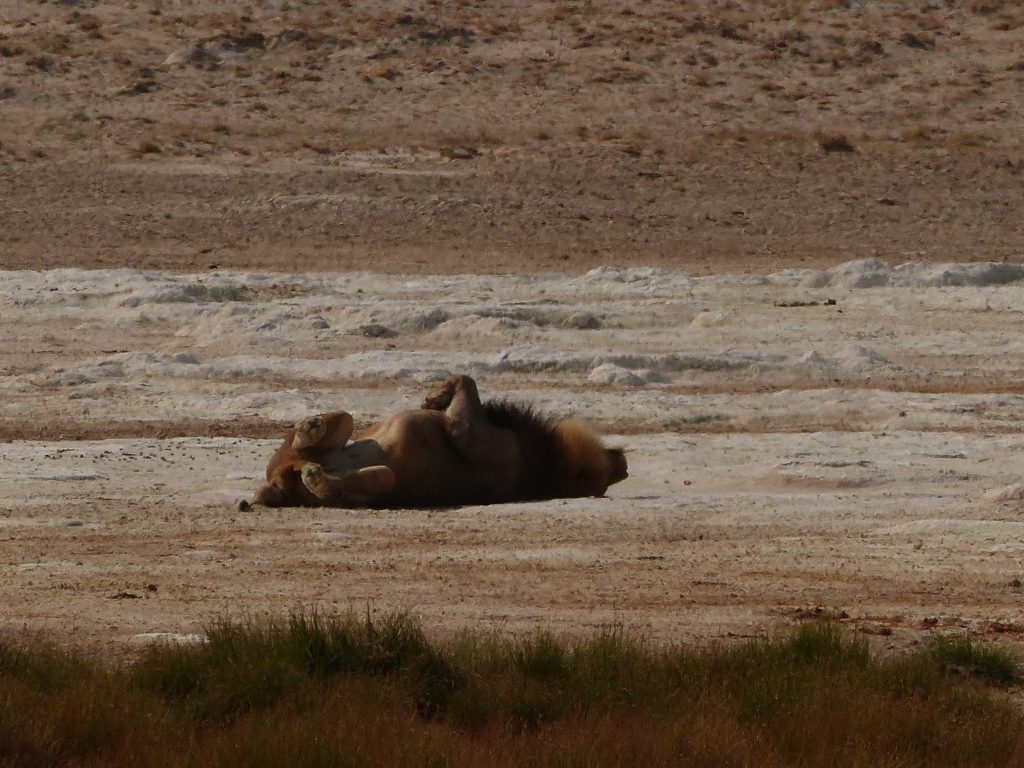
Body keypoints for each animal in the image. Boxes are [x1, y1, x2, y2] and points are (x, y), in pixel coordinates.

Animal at [251, 374, 626, 512]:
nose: (619, 458)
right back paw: (312, 438)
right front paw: (434, 398)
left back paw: (312, 452)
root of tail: (279, 487)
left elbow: (466, 381)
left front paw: (434, 397)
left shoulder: (468, 431)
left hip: (383, 477)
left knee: (317, 460)